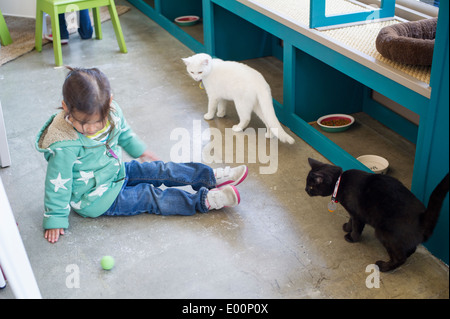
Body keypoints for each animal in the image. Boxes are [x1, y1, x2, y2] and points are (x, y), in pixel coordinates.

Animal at [304, 158, 448, 272]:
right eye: (307, 185)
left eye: (311, 187)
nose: (305, 190)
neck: (340, 182)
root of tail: (422, 218)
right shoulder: (353, 212)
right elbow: (351, 220)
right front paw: (347, 227)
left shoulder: (358, 214)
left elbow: (356, 227)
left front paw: (351, 237)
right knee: (409, 250)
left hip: (383, 233)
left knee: (400, 258)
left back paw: (384, 266)